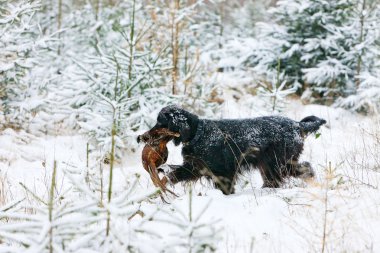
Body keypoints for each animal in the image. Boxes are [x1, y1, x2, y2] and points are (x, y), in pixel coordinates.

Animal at [147, 105, 326, 194]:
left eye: (160, 121)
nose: (144, 136)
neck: (198, 133)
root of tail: (297, 125)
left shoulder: (223, 172)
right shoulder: (196, 167)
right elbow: (174, 175)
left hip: (278, 163)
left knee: (306, 168)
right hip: (270, 165)